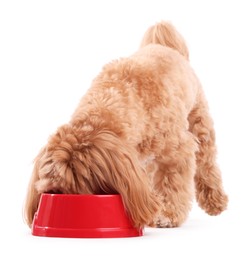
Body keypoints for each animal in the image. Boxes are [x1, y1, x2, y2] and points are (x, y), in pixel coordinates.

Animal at [24, 20, 228, 228]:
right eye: (52, 191)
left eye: (76, 191)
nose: (58, 198)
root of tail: (165, 46)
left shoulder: (177, 152)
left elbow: (172, 183)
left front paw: (167, 214)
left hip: (199, 124)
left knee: (207, 164)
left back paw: (215, 200)